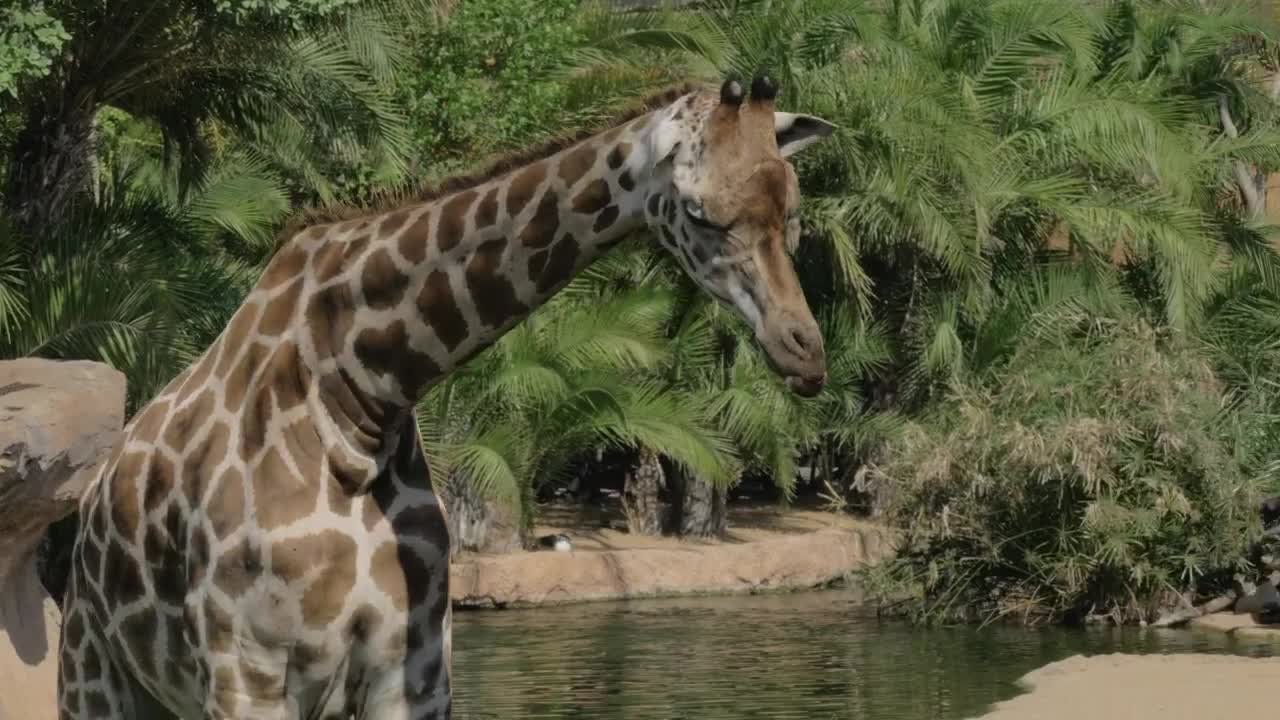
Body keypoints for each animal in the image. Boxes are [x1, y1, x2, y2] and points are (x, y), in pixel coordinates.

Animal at [55, 74, 835, 720]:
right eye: (699, 213)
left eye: (793, 210)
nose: (804, 350)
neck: (357, 397)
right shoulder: (246, 672)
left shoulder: (415, 668)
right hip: (95, 676)